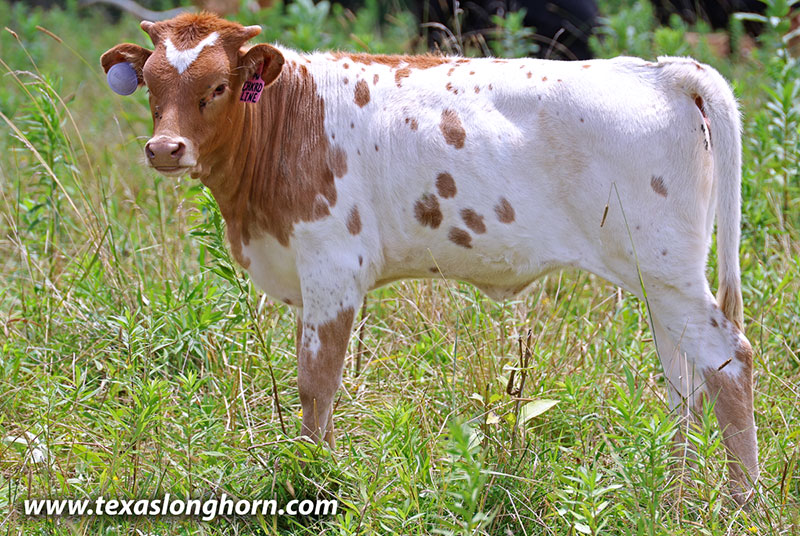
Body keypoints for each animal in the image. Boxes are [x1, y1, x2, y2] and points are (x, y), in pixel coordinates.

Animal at [101, 13, 758, 504]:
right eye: (152, 86)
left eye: (216, 87)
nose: (164, 148)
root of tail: (660, 71)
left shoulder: (333, 268)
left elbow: (316, 382)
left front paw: (311, 478)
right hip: (660, 280)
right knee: (682, 381)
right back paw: (668, 487)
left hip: (668, 271)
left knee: (729, 360)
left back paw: (741, 500)